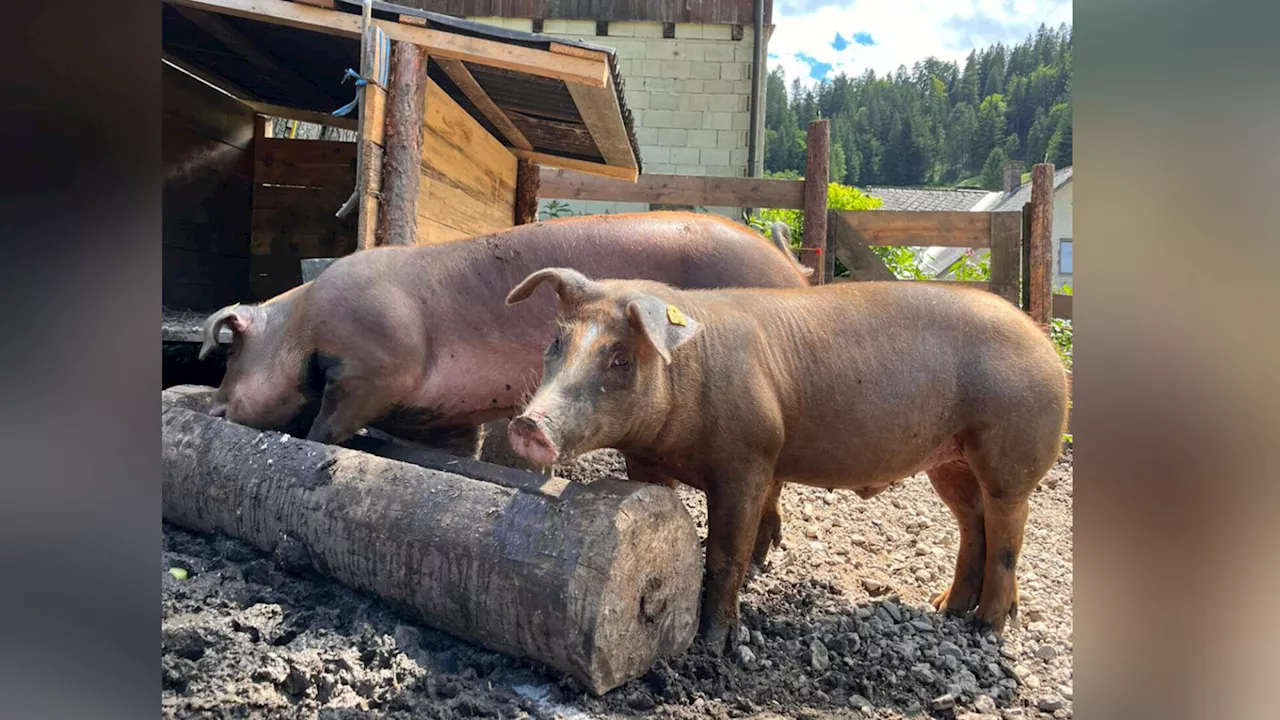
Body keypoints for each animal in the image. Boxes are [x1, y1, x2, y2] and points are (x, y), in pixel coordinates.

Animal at [504, 267, 1064, 650]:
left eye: (620, 359)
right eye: (557, 342)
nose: (528, 426)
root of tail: (1043, 340)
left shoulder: (750, 458)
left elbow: (726, 552)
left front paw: (718, 645)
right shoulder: (644, 459)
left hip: (1011, 451)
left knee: (1009, 528)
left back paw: (985, 626)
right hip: (948, 461)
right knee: (973, 523)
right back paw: (946, 609)